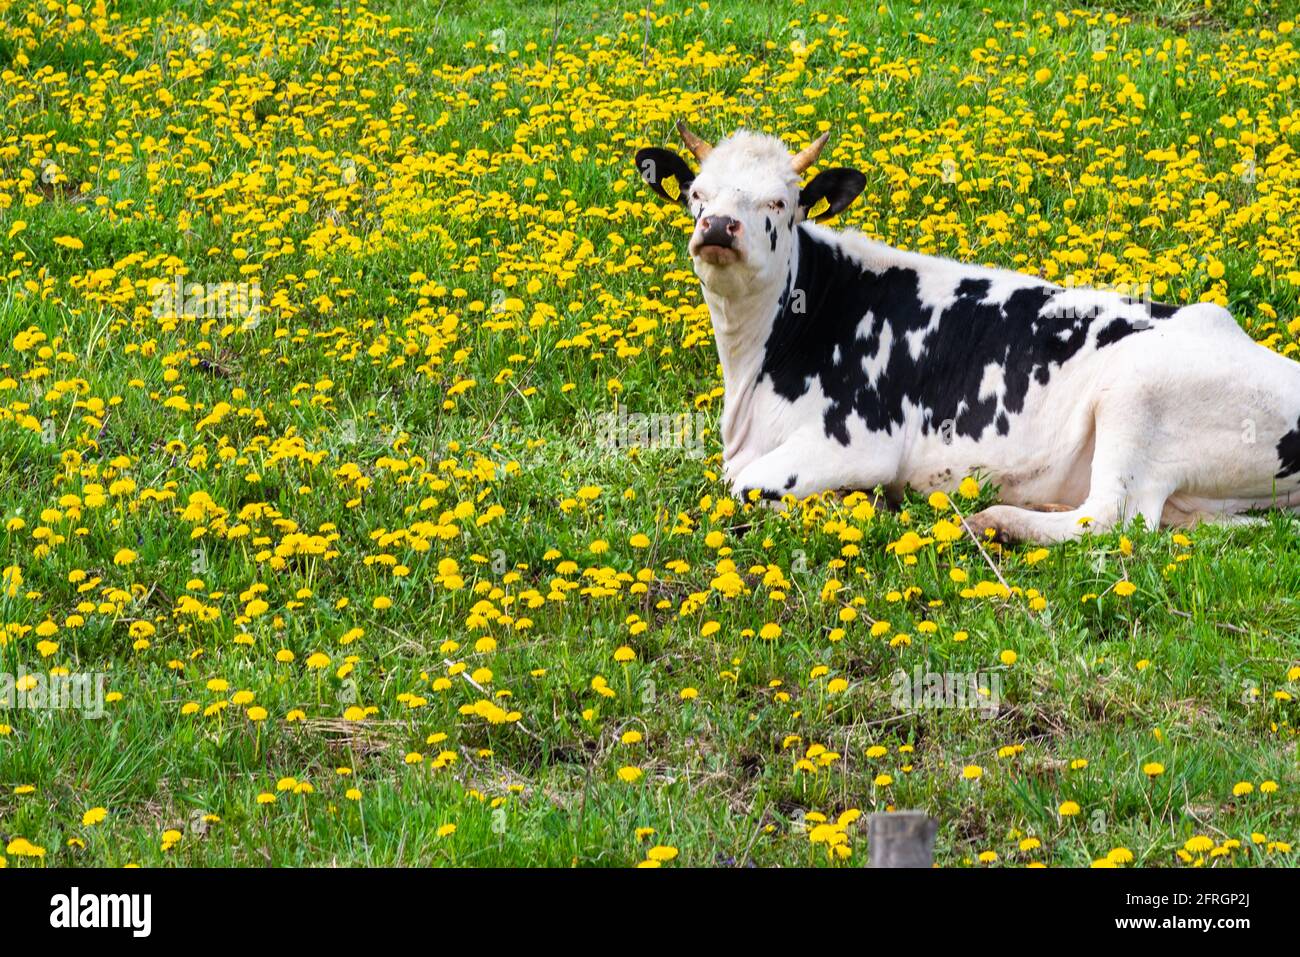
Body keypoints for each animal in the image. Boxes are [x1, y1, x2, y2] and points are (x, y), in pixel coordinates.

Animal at [635, 122, 1300, 543]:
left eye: (781, 201)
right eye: (696, 194)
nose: (718, 227)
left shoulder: (857, 443)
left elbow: (742, 486)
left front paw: (862, 503)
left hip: (1137, 393)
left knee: (1114, 517)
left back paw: (993, 520)